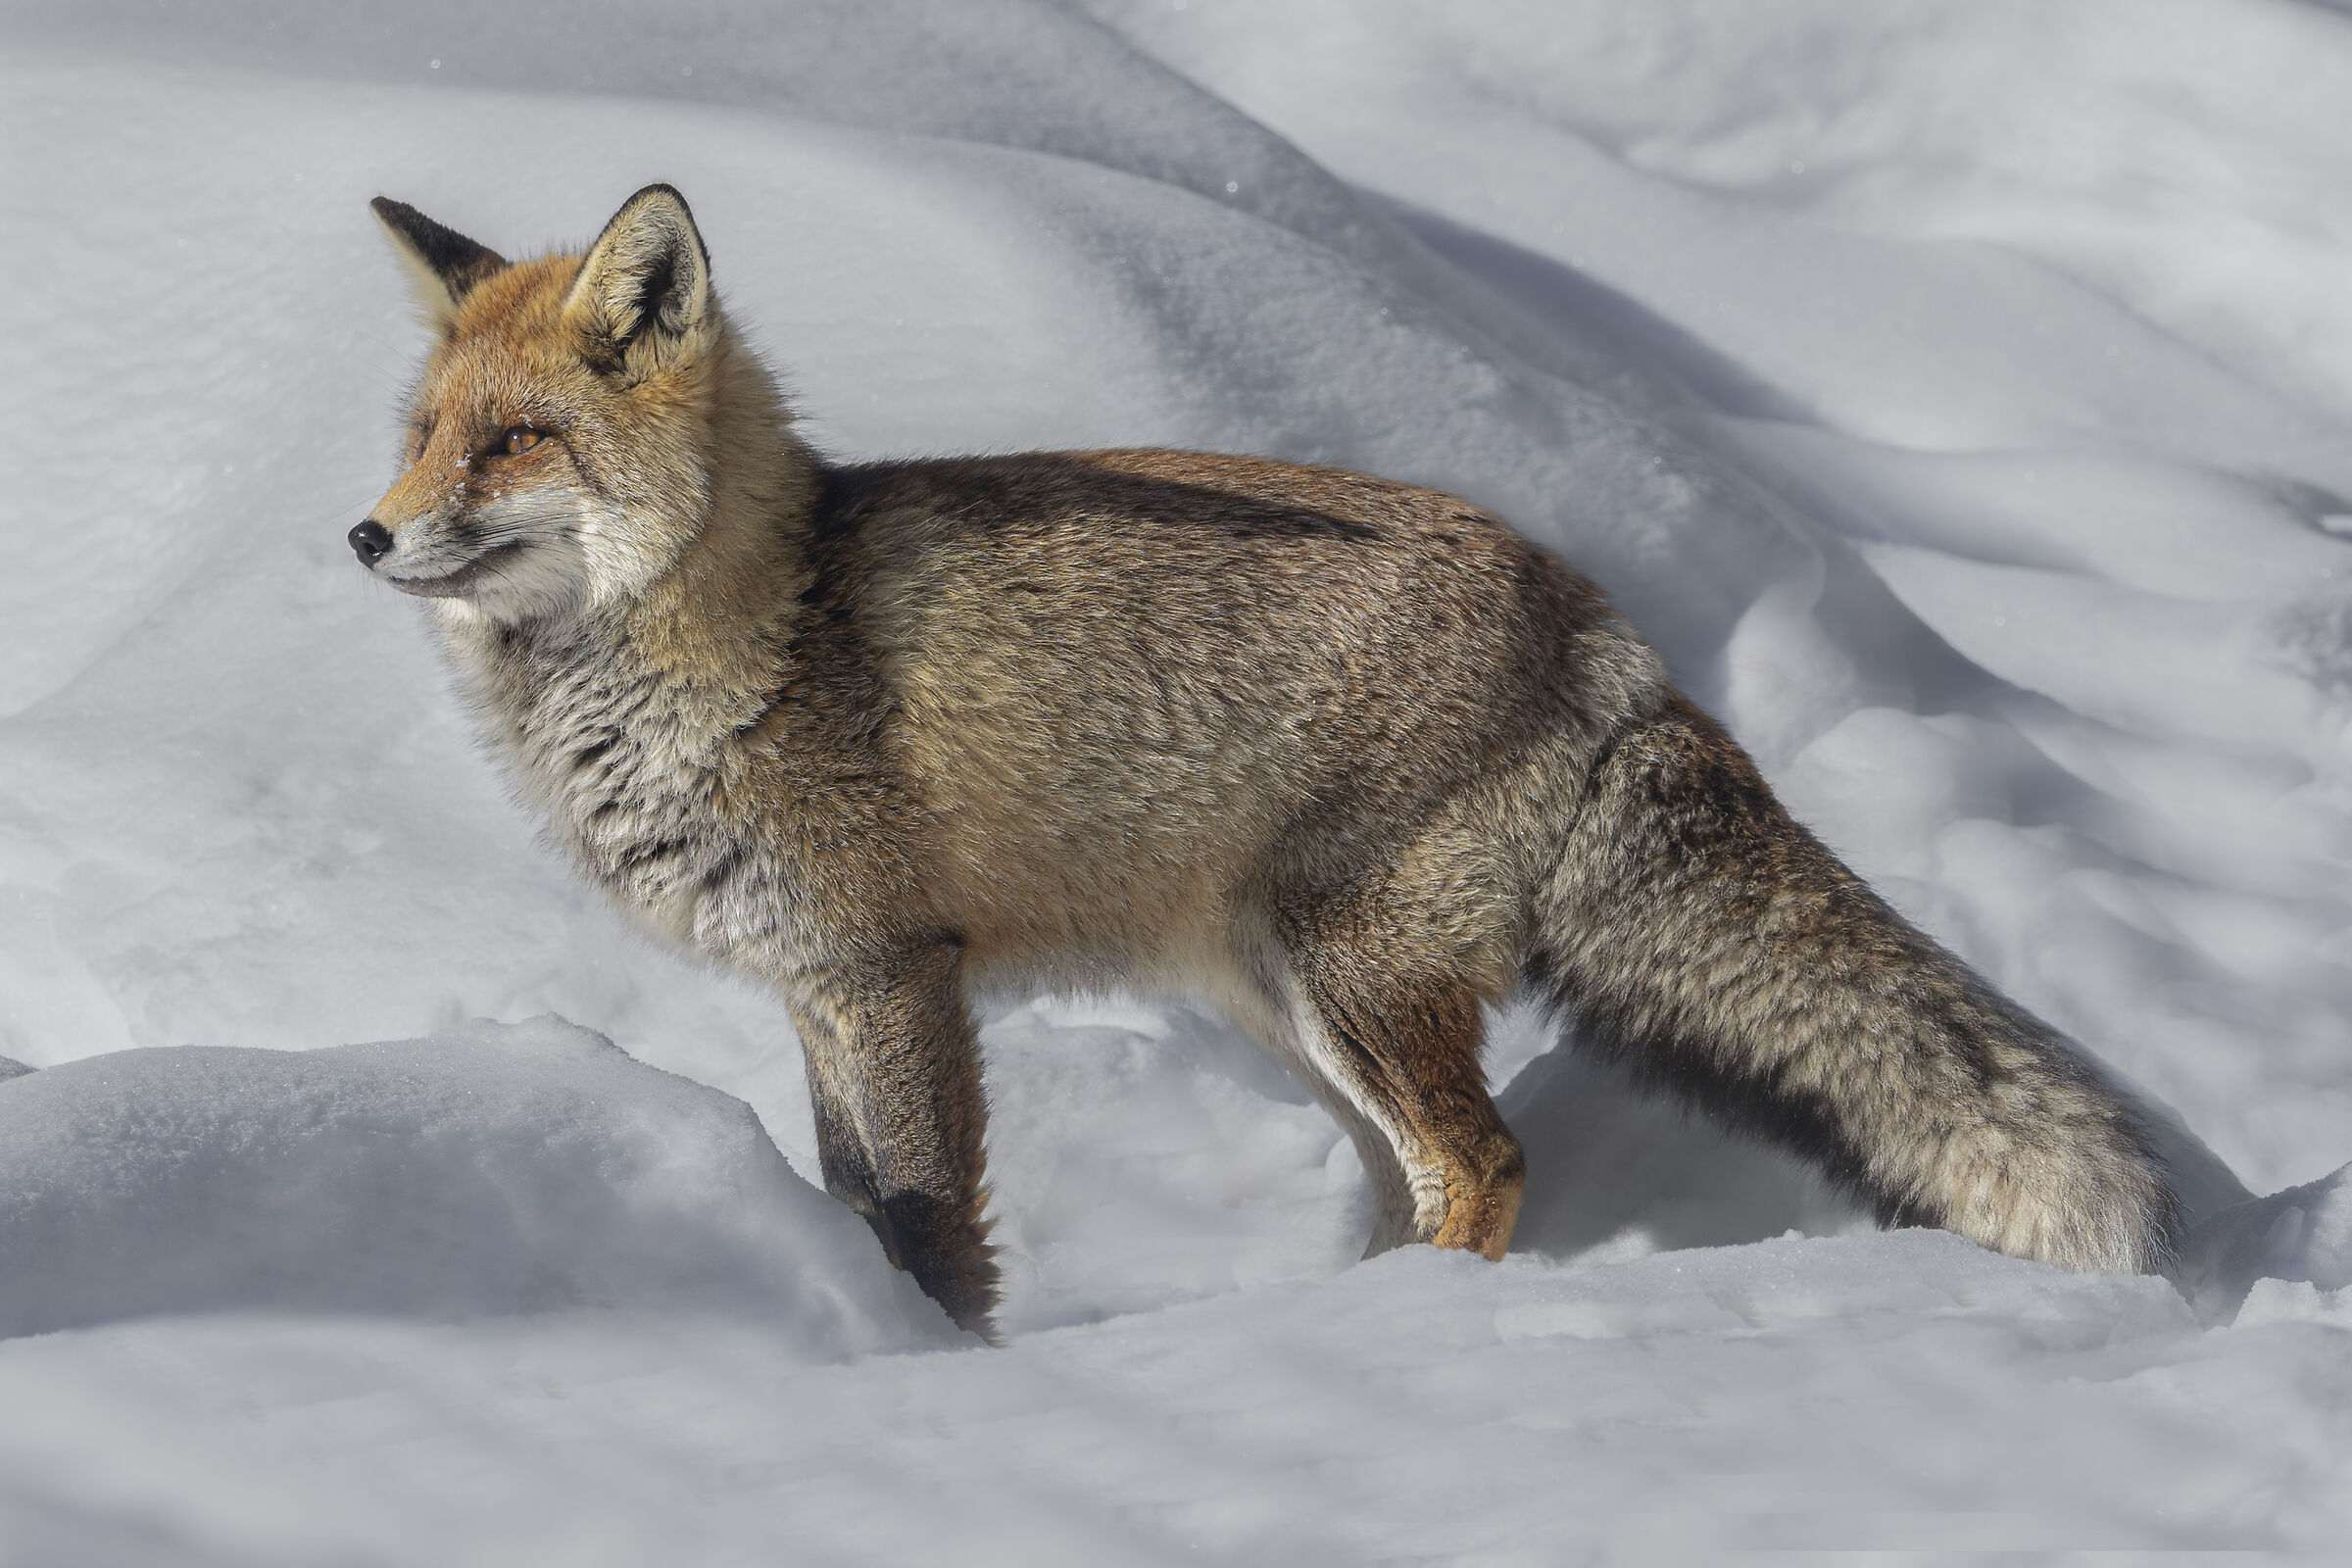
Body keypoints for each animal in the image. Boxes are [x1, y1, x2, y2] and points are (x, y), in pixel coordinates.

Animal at [355, 185, 2178, 1339]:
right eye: (422, 435)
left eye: (518, 441)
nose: (366, 536)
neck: (757, 631)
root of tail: (1592, 607)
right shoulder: (813, 985)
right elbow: (855, 1197)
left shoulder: (891, 971)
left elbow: (929, 1221)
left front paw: (932, 1369)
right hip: (1293, 1007)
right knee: (1420, 1173)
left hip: (1354, 982)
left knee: (1487, 1162)